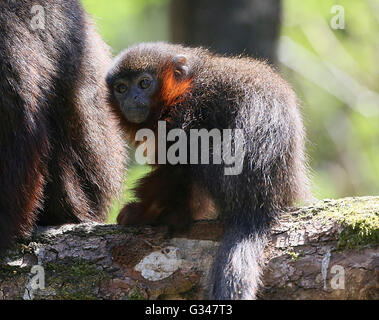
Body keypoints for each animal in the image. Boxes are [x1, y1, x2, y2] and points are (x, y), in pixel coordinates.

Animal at [106, 42, 308, 300]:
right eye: (121, 88)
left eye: (144, 83)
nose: (132, 98)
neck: (183, 89)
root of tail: (255, 203)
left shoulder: (187, 112)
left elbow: (178, 164)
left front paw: (144, 213)